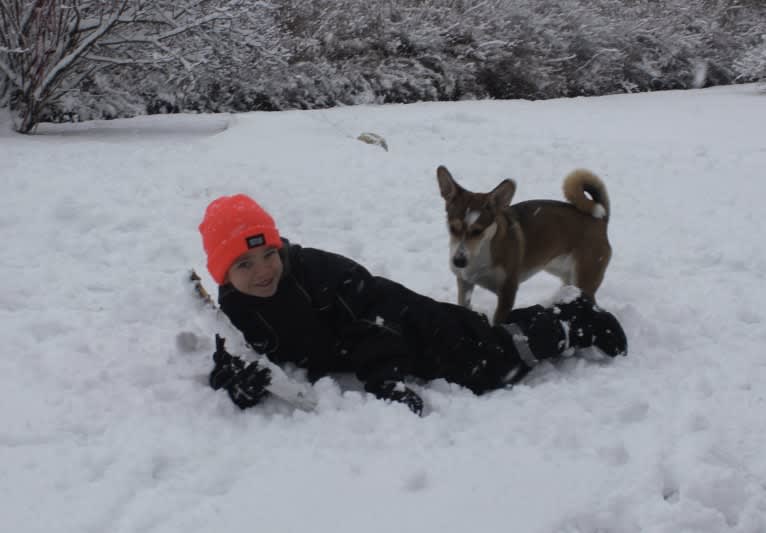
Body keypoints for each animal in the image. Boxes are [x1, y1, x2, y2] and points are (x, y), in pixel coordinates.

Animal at [438, 165, 612, 324]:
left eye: (477, 231)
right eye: (453, 228)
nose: (459, 261)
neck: (481, 254)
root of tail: (601, 220)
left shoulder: (507, 291)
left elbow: (498, 321)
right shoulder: (465, 283)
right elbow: (464, 305)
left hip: (585, 278)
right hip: (565, 276)